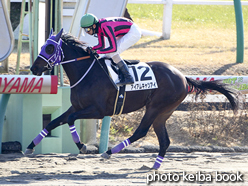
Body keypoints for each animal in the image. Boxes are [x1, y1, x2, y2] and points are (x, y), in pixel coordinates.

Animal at [26, 28, 239, 169]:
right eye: (44, 46)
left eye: (49, 48)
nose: (34, 68)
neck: (87, 73)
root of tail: (182, 76)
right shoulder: (76, 107)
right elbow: (52, 122)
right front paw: (29, 147)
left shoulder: (97, 111)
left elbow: (70, 120)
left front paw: (82, 145)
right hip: (164, 112)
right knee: (164, 140)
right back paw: (154, 167)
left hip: (155, 107)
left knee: (141, 131)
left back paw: (109, 152)